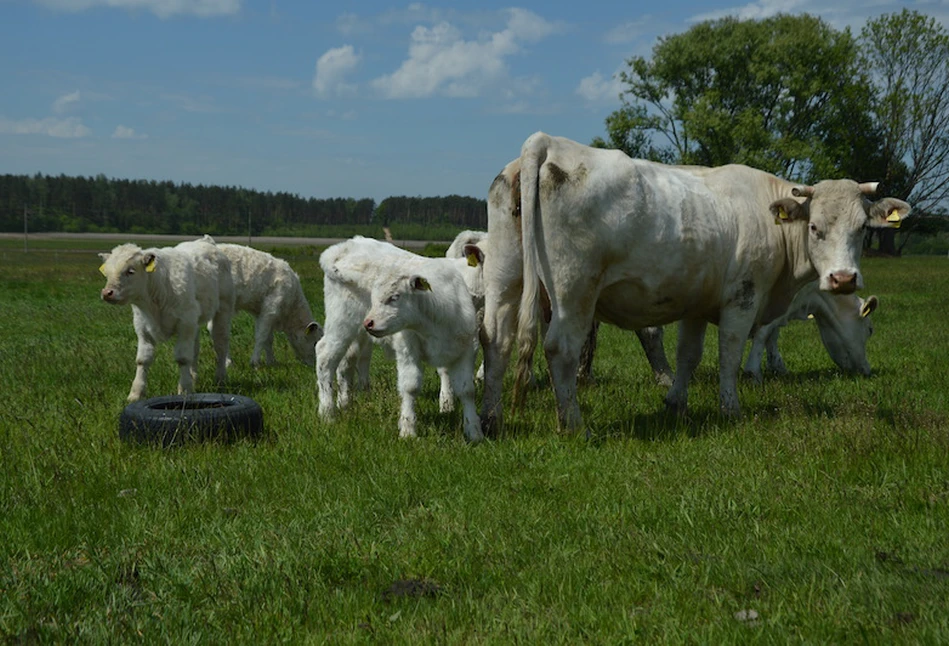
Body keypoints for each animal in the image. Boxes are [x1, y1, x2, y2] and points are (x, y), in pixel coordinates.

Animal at [98, 235, 235, 402]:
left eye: (131, 271)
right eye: (107, 273)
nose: (107, 293)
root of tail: (205, 241)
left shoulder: (185, 324)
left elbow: (183, 358)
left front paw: (184, 390)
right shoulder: (142, 327)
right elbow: (143, 359)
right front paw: (136, 393)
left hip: (222, 311)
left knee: (220, 346)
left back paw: (220, 379)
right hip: (194, 324)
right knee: (195, 350)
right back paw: (194, 378)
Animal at [314, 238, 486, 446]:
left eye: (395, 297)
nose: (369, 323)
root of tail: (342, 247)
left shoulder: (466, 348)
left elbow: (466, 389)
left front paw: (474, 431)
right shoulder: (407, 348)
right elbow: (410, 386)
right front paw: (408, 430)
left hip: (355, 334)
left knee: (346, 362)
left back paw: (345, 404)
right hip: (341, 322)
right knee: (325, 357)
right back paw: (328, 413)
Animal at [482, 133, 912, 436]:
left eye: (861, 228)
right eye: (815, 228)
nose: (843, 278)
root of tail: (547, 143)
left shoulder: (696, 303)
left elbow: (689, 354)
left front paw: (675, 402)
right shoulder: (743, 297)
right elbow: (730, 354)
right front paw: (731, 408)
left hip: (505, 275)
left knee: (496, 339)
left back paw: (489, 421)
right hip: (574, 289)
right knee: (560, 349)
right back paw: (573, 425)